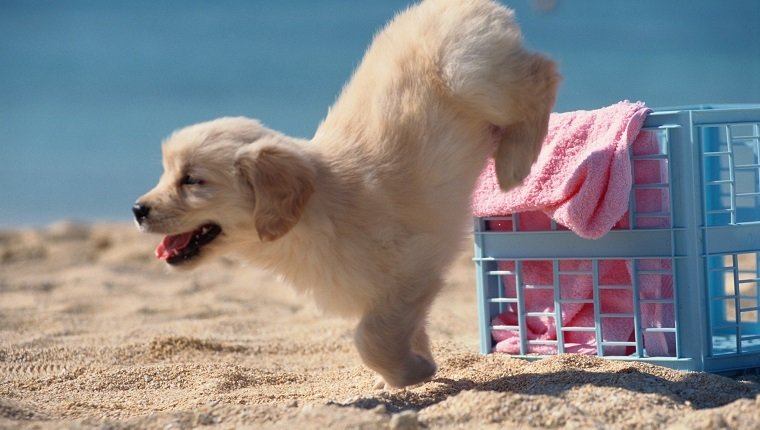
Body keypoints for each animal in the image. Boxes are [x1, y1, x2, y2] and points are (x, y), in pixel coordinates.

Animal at [134, 0, 560, 390]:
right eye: (167, 172)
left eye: (192, 180)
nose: (137, 209)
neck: (313, 212)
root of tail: (466, 4)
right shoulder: (394, 294)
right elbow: (404, 328)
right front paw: (409, 367)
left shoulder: (412, 268)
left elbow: (370, 339)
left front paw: (413, 372)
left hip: (470, 75)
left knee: (544, 72)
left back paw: (514, 162)